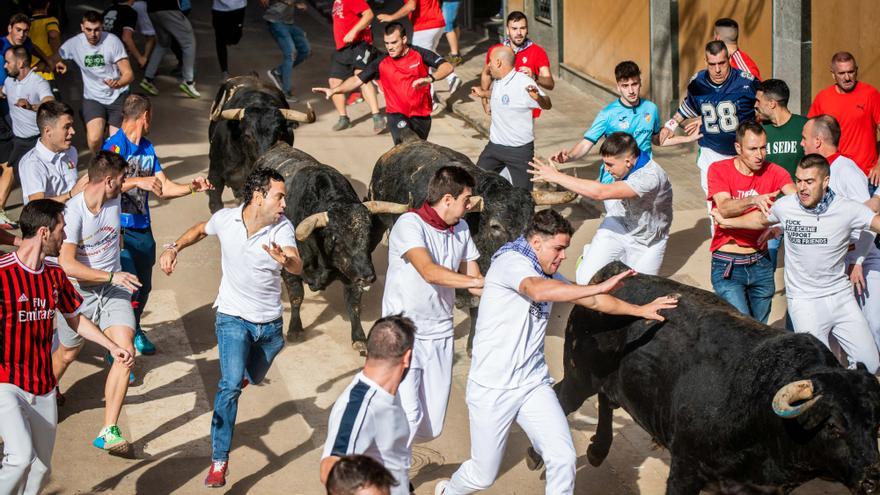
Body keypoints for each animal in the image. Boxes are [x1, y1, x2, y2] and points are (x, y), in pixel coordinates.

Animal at [251, 143, 410, 352]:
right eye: (337, 239)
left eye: (368, 236)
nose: (368, 276)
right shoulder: (290, 270)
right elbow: (296, 297)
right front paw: (295, 330)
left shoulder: (352, 274)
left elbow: (354, 304)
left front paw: (359, 338)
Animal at [528, 262, 880, 494]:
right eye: (833, 426)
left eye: (875, 424)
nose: (873, 478)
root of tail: (617, 272)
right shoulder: (685, 469)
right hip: (580, 376)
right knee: (562, 396)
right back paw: (536, 455)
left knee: (606, 398)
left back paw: (598, 450)